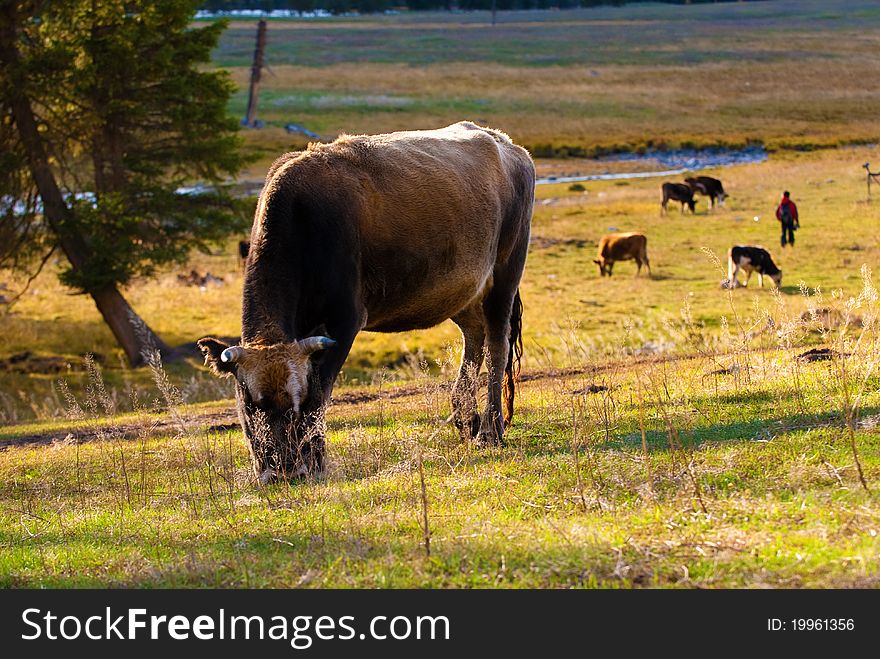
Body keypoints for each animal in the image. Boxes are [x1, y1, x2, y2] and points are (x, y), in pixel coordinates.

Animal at [198, 122, 536, 484]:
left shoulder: (344, 320)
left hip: (506, 271)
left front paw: (316, 462)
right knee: (475, 335)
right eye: (250, 403)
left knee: (497, 344)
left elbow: (320, 393)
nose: (282, 472)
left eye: (295, 402)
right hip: (464, 290)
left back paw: (491, 430)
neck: (302, 221)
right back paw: (466, 421)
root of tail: (505, 142)